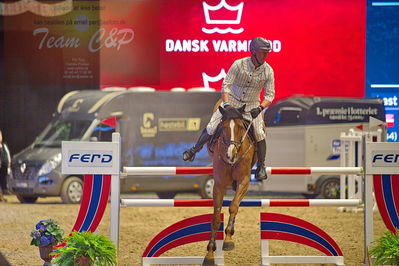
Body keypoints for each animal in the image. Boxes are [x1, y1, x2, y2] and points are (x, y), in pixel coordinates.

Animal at [203, 105, 256, 264]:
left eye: (240, 126)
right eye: (223, 127)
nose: (231, 154)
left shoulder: (244, 181)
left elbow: (233, 206)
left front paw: (228, 239)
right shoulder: (218, 185)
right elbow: (215, 217)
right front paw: (210, 253)